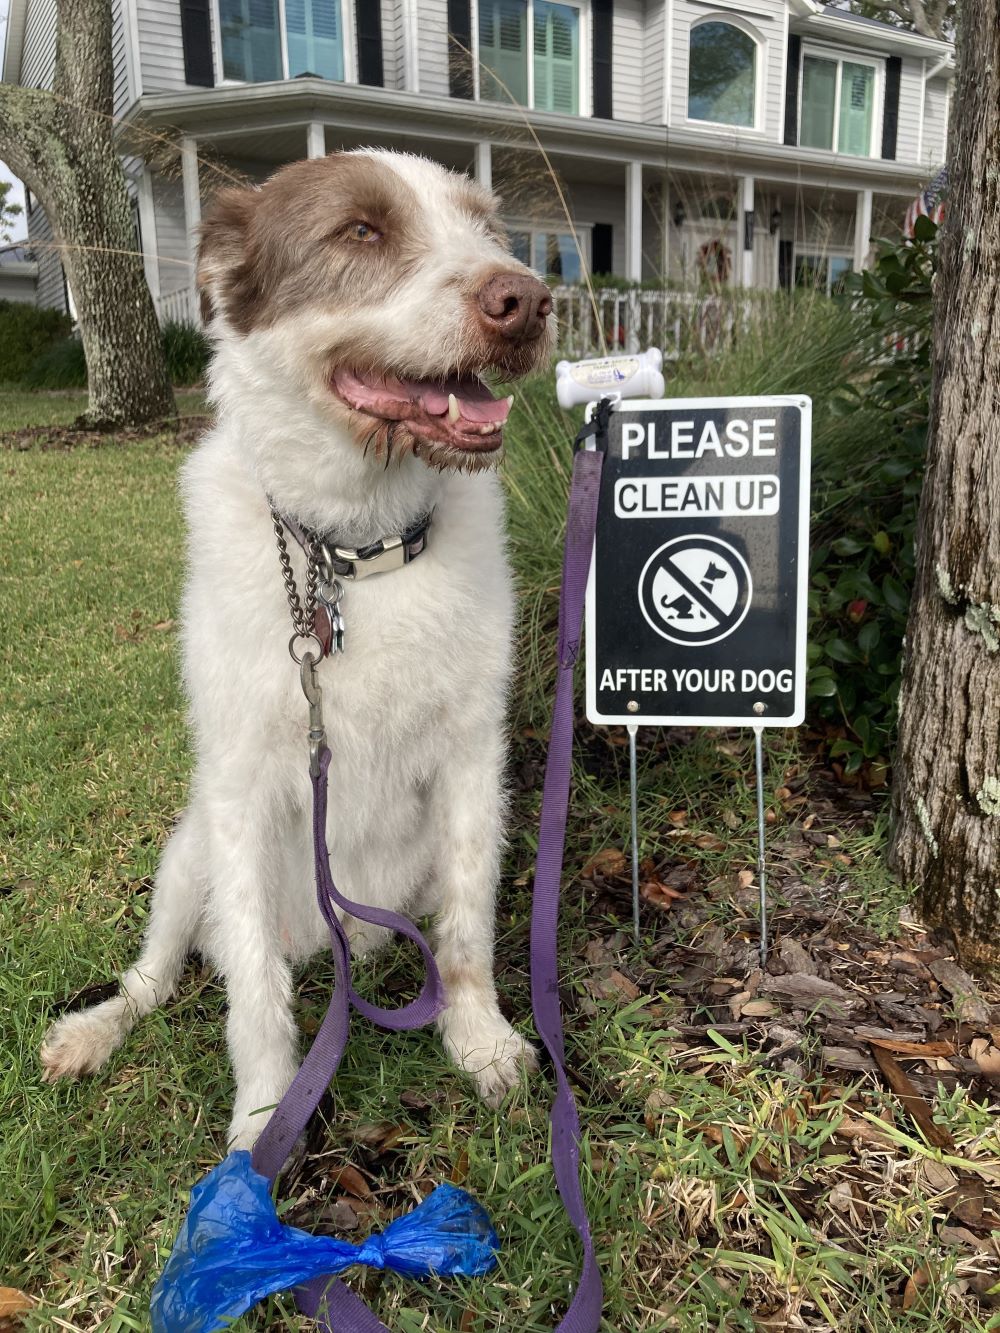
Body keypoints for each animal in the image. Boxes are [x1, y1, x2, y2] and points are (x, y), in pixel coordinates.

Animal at [39, 145, 557, 1146]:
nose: (528, 300)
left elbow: (468, 932)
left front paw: (478, 1040)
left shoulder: (475, 768)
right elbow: (253, 998)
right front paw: (264, 1121)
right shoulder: (239, 791)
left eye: (487, 228)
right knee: (157, 972)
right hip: (187, 852)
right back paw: (94, 1030)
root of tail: (325, 942)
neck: (354, 549)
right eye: (360, 230)